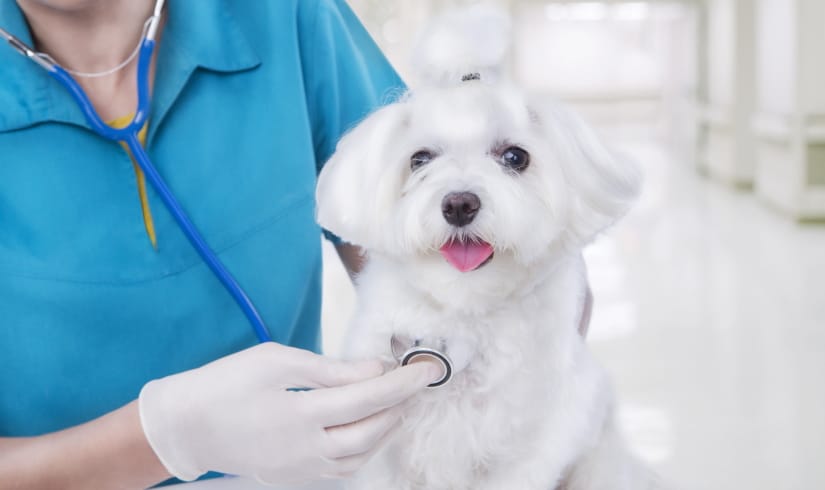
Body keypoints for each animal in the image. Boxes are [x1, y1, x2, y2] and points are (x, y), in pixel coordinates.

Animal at [314, 7, 656, 490]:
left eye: (515, 157)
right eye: (420, 159)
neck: (463, 315)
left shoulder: (530, 449)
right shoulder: (381, 454)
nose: (459, 203)